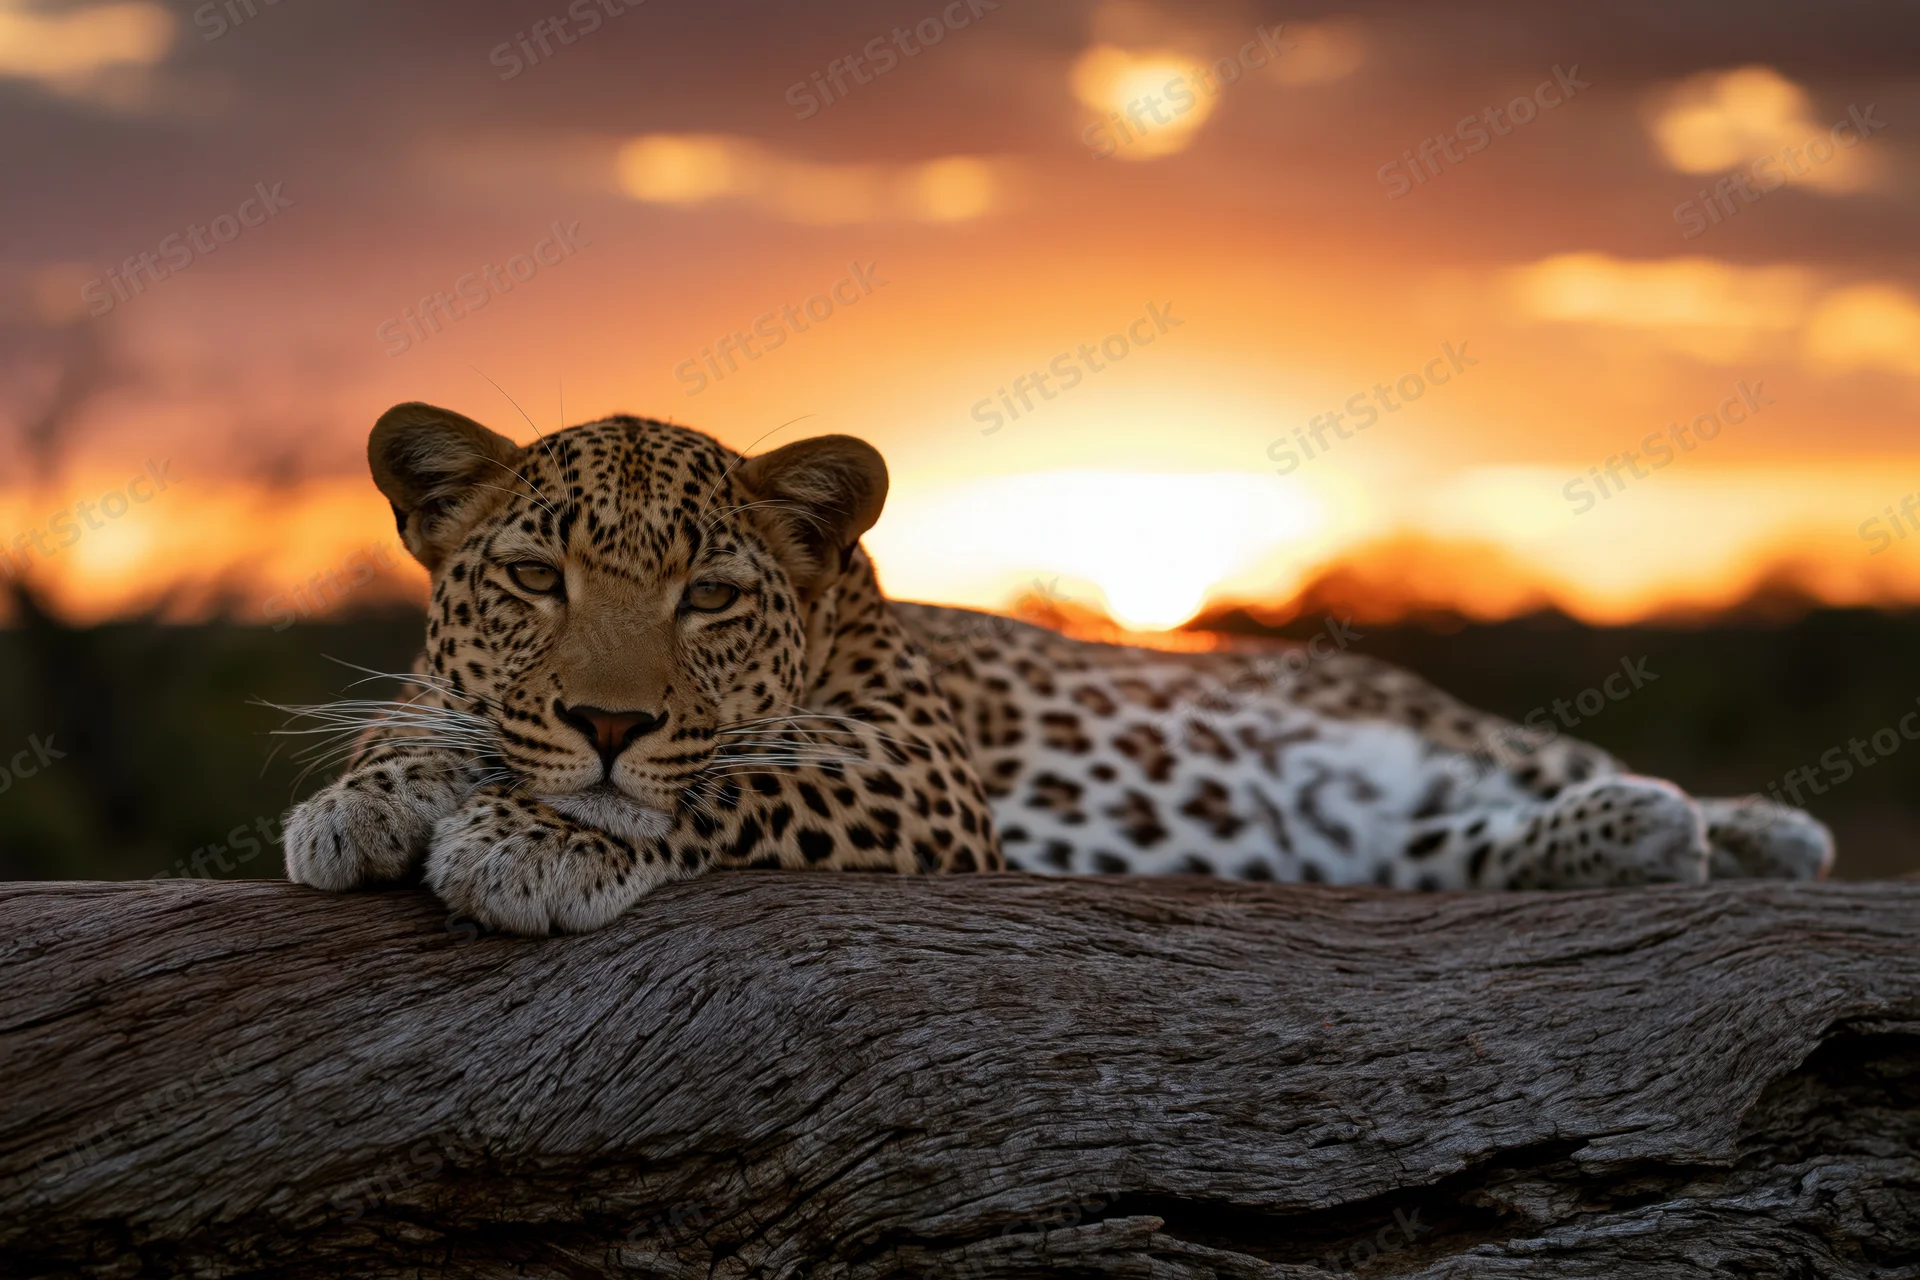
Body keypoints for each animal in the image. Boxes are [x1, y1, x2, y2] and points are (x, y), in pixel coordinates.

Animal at [281, 403, 1834, 934]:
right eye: (535, 578)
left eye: (710, 596)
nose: (606, 714)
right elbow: (419, 725)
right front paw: (369, 801)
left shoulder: (914, 770)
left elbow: (715, 780)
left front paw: (535, 836)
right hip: (1353, 836)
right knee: (1448, 847)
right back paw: (1636, 833)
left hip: (1428, 724)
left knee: (1549, 760)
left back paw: (1751, 832)